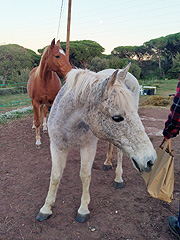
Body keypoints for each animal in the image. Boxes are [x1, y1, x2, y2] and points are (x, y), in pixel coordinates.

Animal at [36, 64, 156, 223]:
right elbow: (55, 176)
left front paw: (83, 209)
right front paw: (46, 208)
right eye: (117, 117)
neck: (69, 122)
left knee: (120, 152)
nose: (150, 160)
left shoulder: (88, 148)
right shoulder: (57, 147)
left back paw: (118, 178)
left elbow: (85, 175)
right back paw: (107, 162)